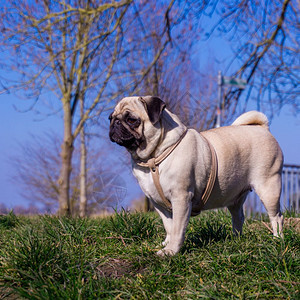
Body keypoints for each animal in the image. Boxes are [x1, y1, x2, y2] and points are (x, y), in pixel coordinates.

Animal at [108, 96, 284, 255]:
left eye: (131, 120)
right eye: (110, 118)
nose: (114, 123)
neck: (153, 158)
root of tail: (262, 129)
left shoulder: (181, 198)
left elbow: (178, 228)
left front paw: (171, 251)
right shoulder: (158, 203)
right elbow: (169, 226)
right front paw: (166, 244)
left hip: (269, 188)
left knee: (276, 217)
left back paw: (278, 240)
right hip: (236, 197)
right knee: (238, 217)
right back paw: (236, 239)